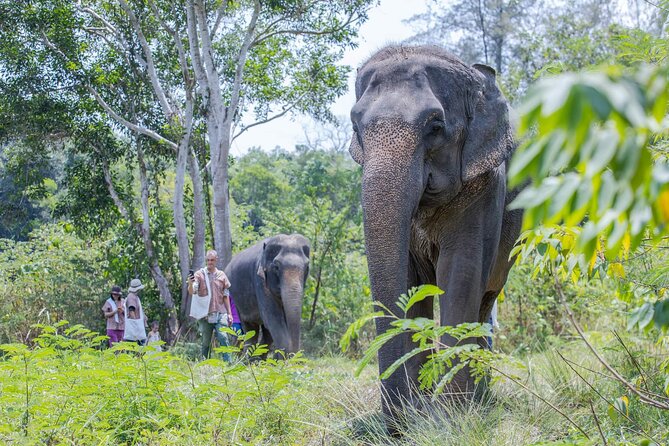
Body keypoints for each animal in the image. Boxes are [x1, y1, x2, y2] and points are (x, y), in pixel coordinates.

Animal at [348, 44, 524, 414]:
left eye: (435, 126)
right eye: (356, 126)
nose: (399, 420)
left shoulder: (485, 186)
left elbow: (460, 272)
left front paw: (449, 414)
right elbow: (411, 283)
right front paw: (421, 405)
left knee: (485, 298)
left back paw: (477, 398)